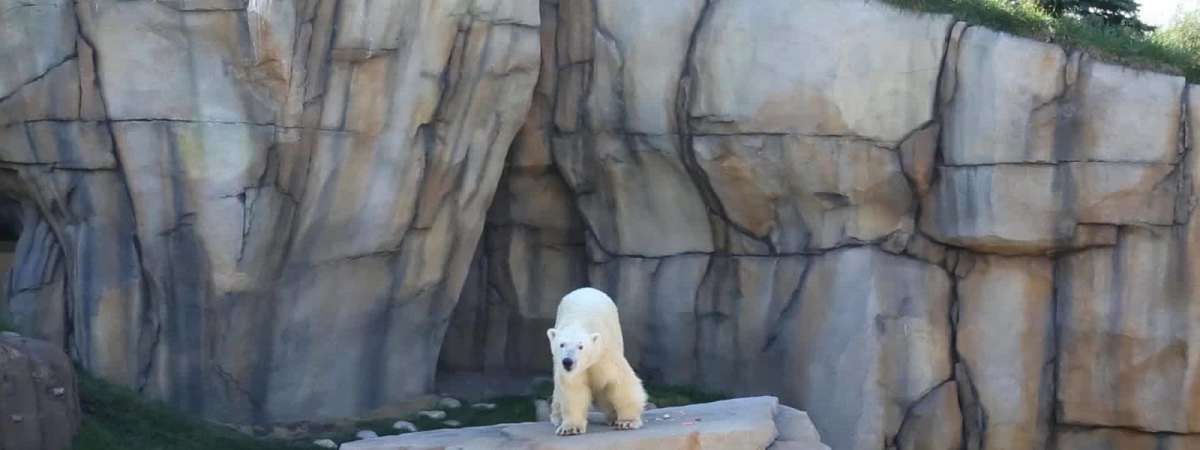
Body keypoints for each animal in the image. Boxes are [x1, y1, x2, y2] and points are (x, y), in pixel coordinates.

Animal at [549, 286, 652, 434]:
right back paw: (557, 417)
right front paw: (569, 428)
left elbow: (621, 382)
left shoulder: (605, 353)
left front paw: (627, 422)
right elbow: (573, 389)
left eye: (581, 346)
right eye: (562, 344)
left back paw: (612, 416)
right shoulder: (571, 372)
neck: (579, 321)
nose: (568, 361)